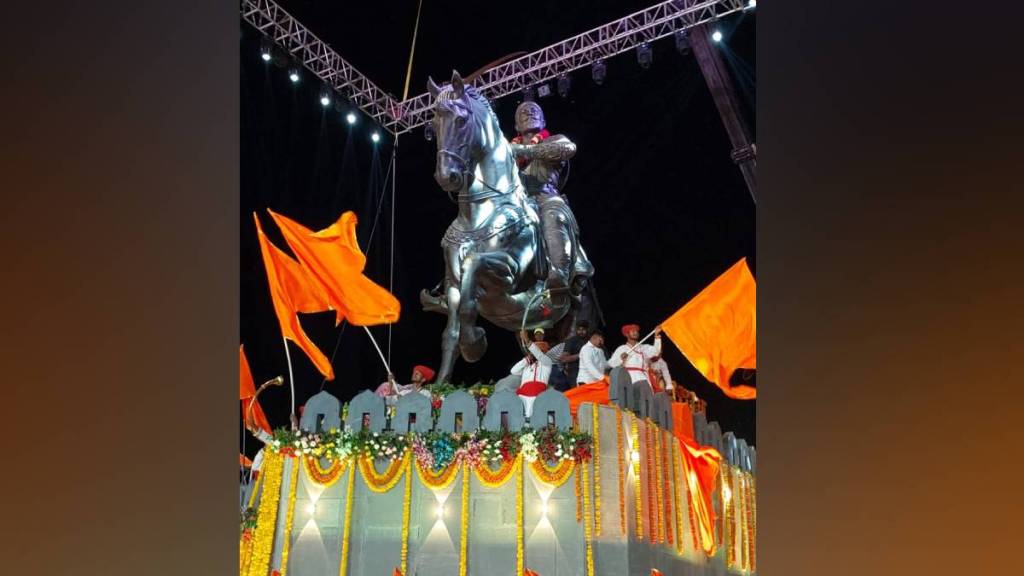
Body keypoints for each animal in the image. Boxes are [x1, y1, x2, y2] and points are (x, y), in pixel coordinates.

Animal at [419, 71, 589, 383]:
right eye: (434, 124)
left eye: (461, 120)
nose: (446, 176)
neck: (479, 214)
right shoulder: (453, 285)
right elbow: (450, 333)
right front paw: (439, 385)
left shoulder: (508, 270)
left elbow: (473, 266)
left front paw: (474, 343)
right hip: (530, 326)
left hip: (576, 306)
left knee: (574, 341)